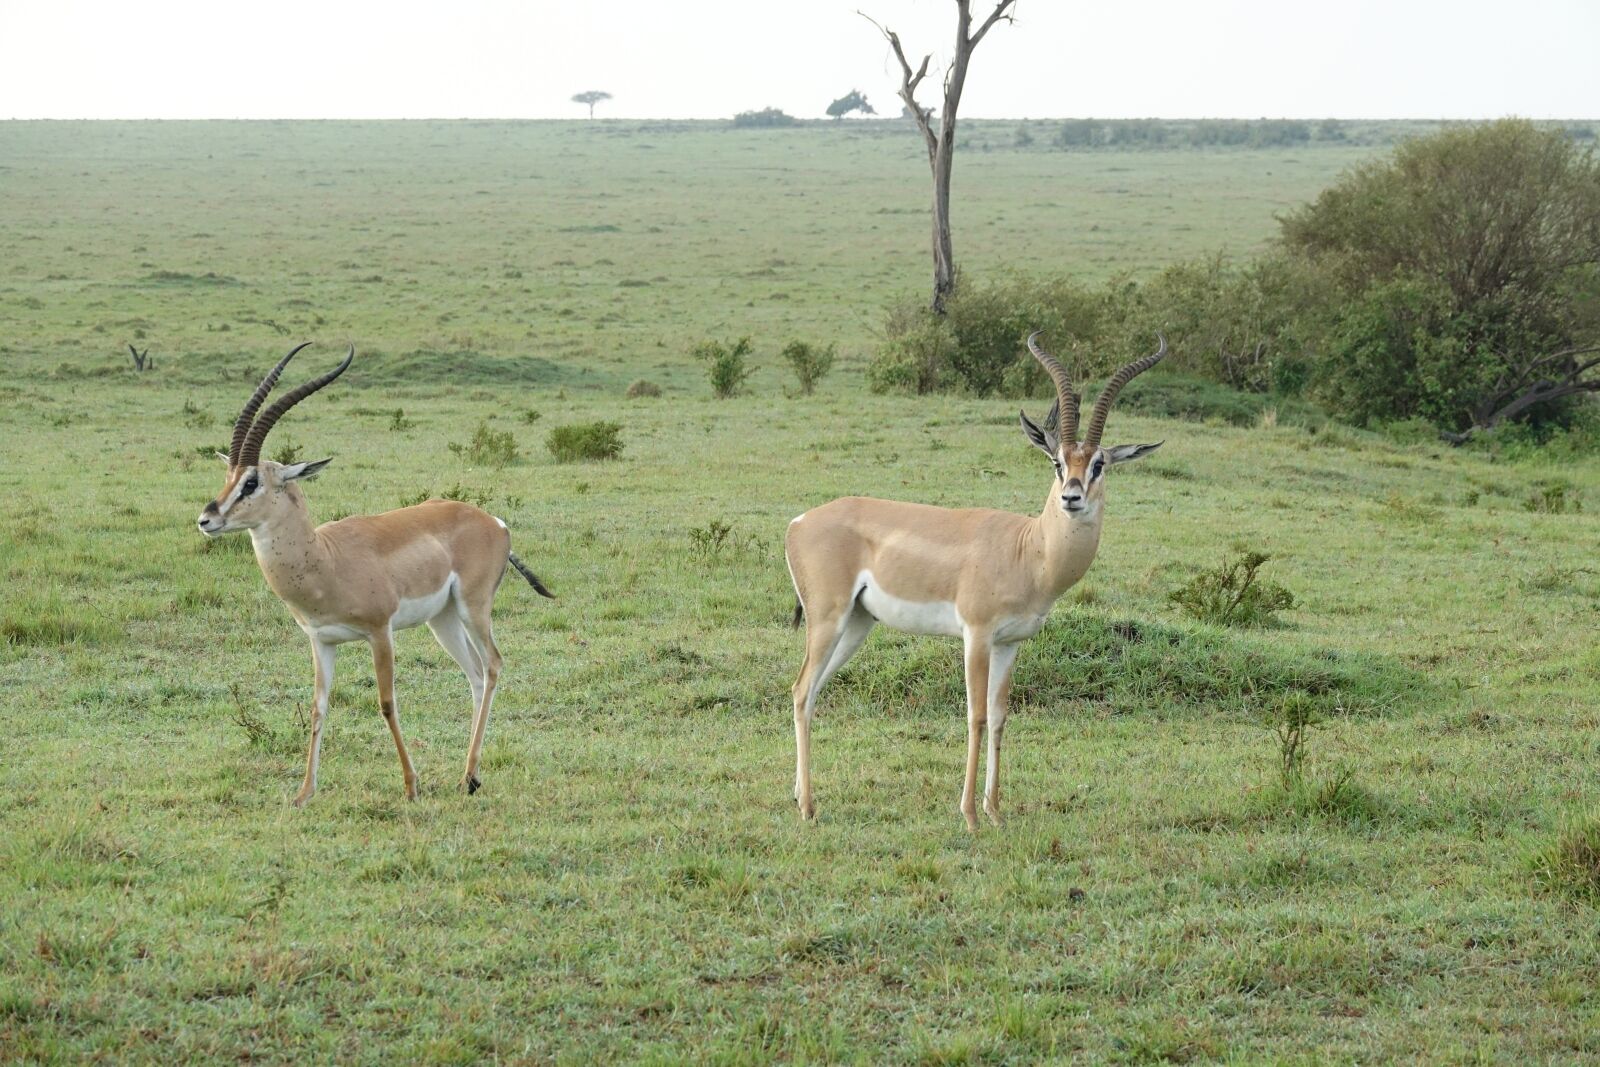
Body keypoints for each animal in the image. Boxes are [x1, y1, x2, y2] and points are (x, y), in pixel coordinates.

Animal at [197, 343, 555, 806]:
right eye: (228, 477)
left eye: (252, 481)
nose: (206, 520)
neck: (325, 560)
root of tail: (494, 522)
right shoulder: (322, 641)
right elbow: (318, 707)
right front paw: (303, 793)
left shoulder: (380, 632)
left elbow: (386, 702)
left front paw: (411, 786)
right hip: (443, 620)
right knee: (475, 673)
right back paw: (468, 777)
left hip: (474, 609)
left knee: (492, 665)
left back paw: (469, 776)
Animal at [785, 333, 1167, 830]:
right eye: (1057, 461)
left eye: (1099, 463)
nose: (1071, 498)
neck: (1029, 550)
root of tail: (799, 521)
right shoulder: (977, 635)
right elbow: (976, 716)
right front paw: (969, 815)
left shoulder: (1010, 642)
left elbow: (1000, 716)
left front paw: (996, 811)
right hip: (828, 620)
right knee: (800, 690)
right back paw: (809, 808)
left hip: (856, 625)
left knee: (811, 693)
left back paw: (800, 796)